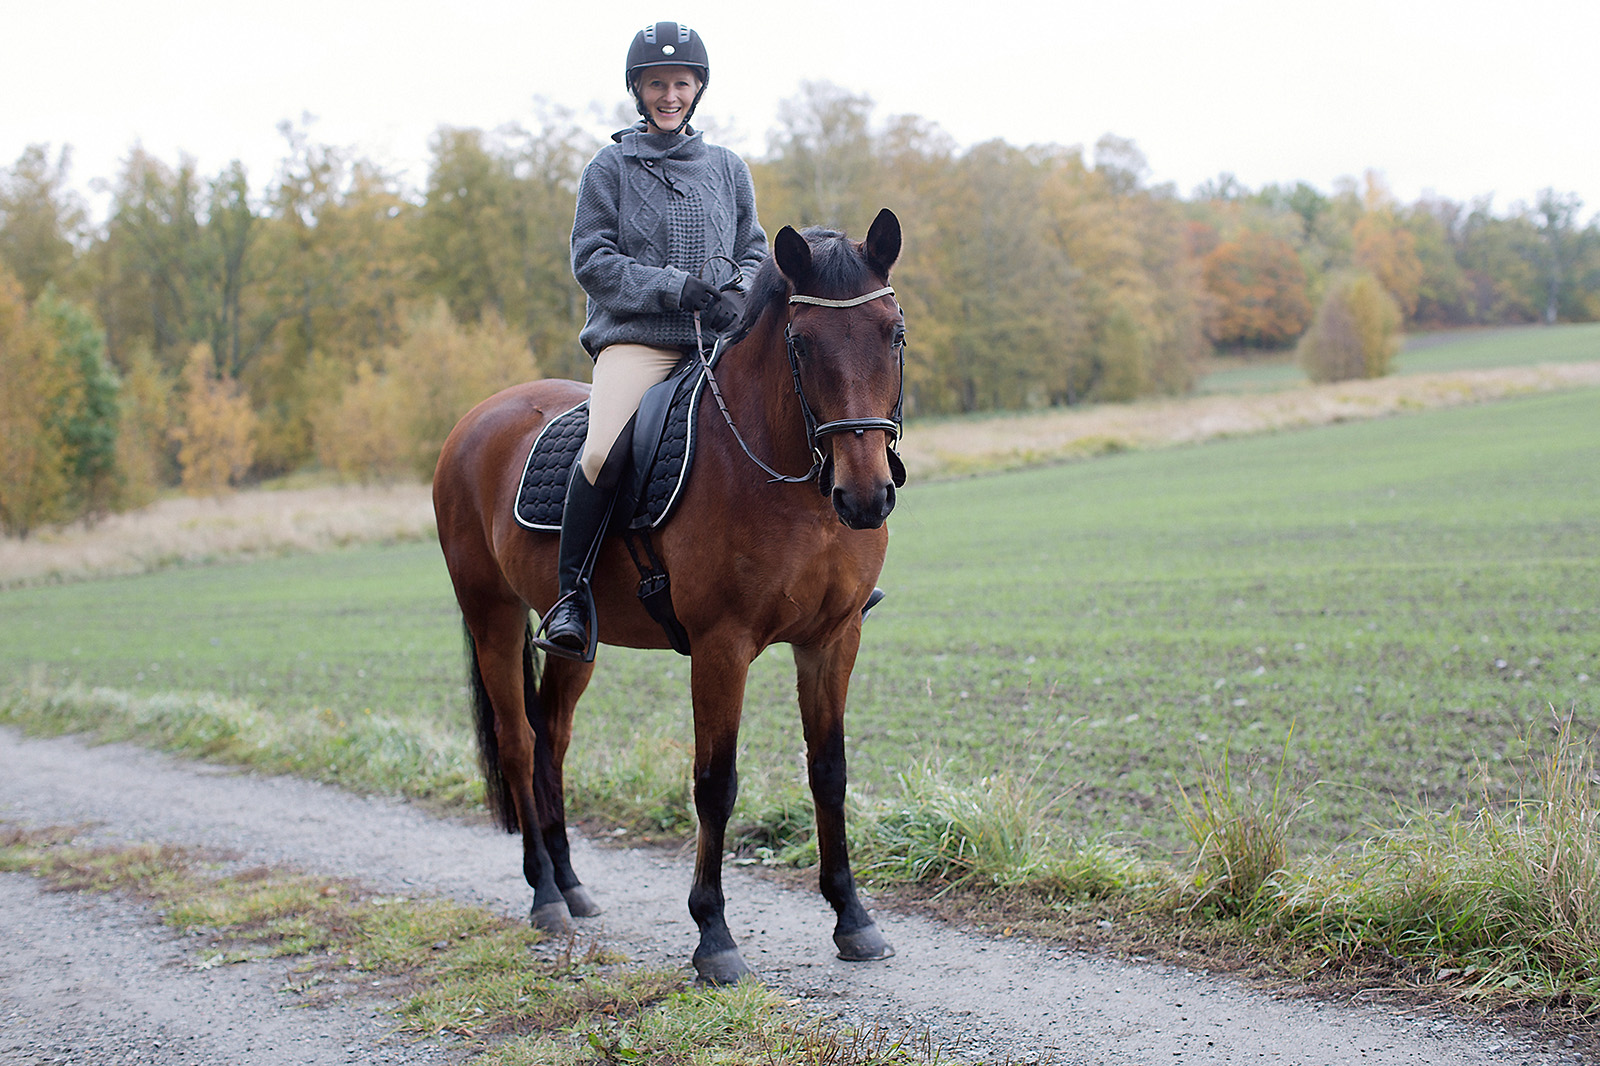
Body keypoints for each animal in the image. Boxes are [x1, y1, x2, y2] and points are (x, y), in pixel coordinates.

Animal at [432, 204, 908, 979]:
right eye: (802, 343)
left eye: (893, 332)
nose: (865, 497)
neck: (781, 476)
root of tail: (478, 418)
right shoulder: (721, 647)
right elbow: (715, 782)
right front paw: (713, 935)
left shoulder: (833, 639)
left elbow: (829, 771)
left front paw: (853, 917)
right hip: (491, 616)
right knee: (517, 743)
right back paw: (545, 897)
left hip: (577, 643)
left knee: (551, 740)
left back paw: (571, 884)